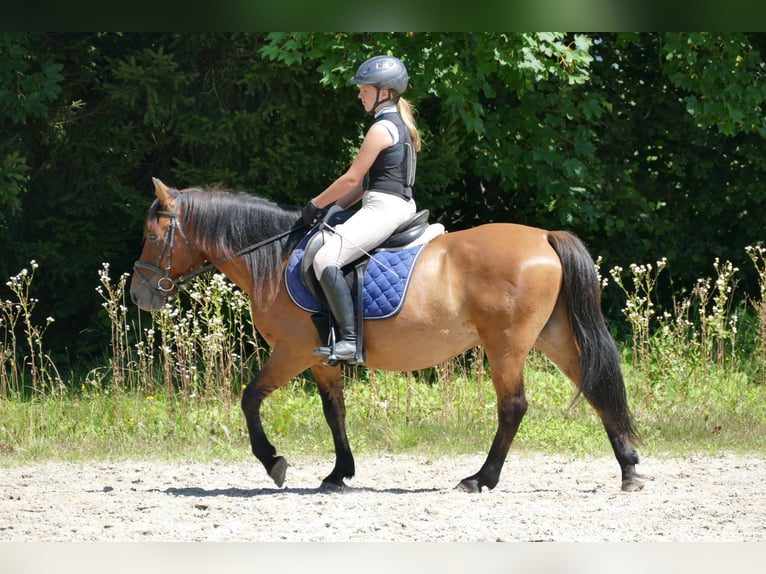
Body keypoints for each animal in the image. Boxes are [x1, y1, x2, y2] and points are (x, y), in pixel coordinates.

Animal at [132, 179, 648, 496]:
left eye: (153, 236)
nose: (139, 294)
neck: (276, 257)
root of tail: (543, 237)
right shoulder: (319, 356)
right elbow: (334, 411)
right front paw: (339, 473)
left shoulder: (292, 350)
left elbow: (250, 398)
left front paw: (273, 462)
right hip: (551, 337)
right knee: (598, 388)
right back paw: (629, 469)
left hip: (506, 345)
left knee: (513, 407)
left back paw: (481, 478)